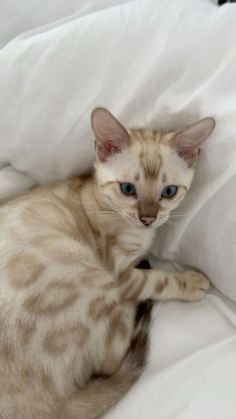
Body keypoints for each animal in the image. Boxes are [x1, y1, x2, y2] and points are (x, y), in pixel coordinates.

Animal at [0, 106, 215, 418]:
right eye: (127, 189)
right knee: (112, 359)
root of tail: (45, 409)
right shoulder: (118, 271)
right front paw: (190, 281)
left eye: (168, 192)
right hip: (87, 271)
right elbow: (158, 280)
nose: (148, 218)